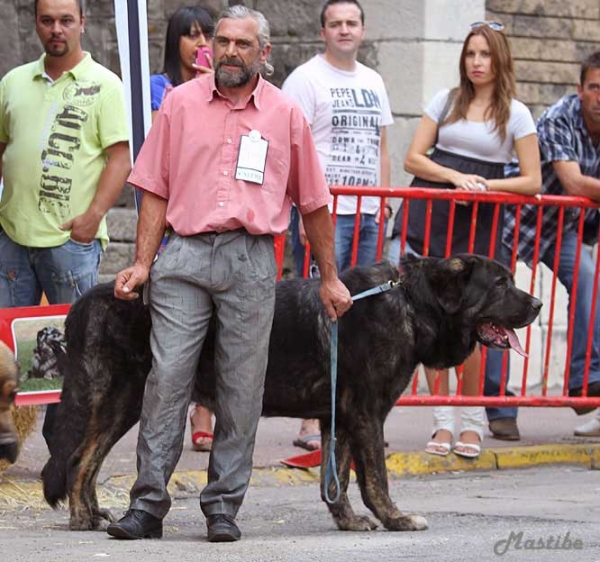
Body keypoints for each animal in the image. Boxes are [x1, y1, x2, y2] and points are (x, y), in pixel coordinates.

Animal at [39, 253, 540, 528]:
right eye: (500, 284)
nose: (536, 303)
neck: (413, 302)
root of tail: (88, 300)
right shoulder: (367, 415)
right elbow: (375, 479)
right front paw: (396, 519)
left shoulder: (337, 417)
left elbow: (335, 480)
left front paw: (348, 522)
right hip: (124, 398)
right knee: (80, 459)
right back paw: (81, 518)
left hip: (126, 404)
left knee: (86, 459)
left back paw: (92, 514)